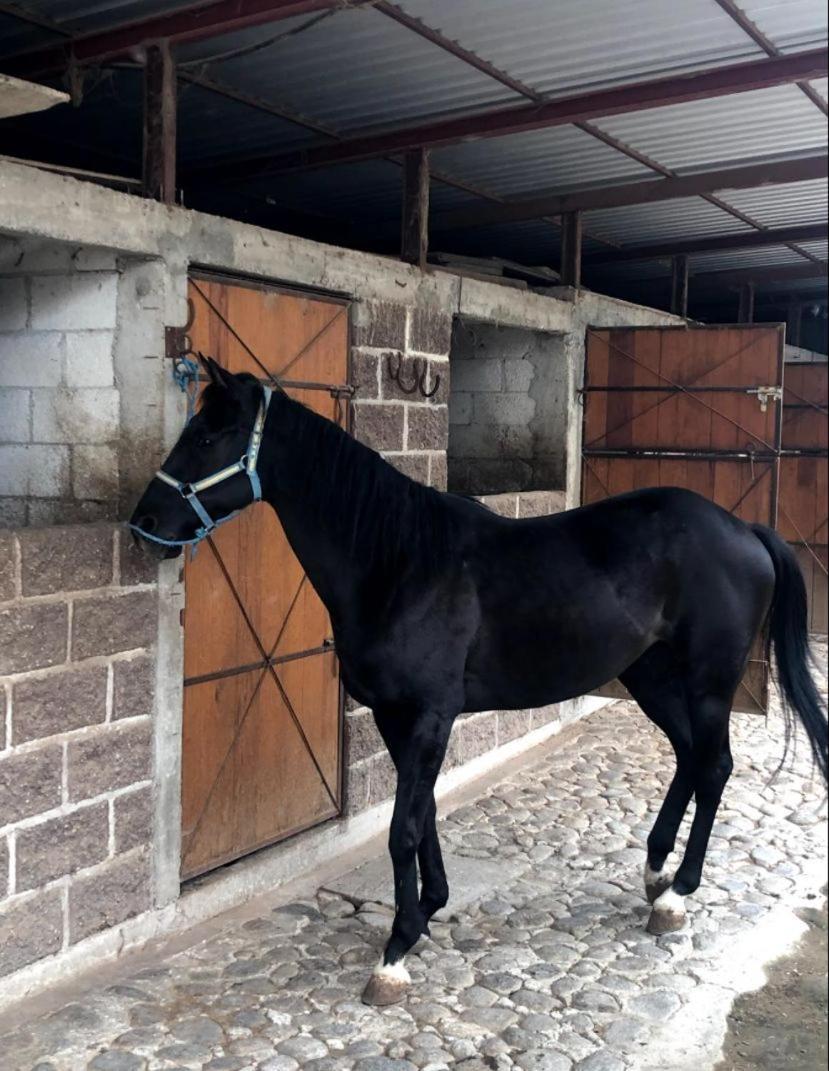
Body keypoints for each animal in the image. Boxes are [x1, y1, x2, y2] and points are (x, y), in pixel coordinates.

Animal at [133, 364, 826, 1006]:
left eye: (207, 435)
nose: (145, 521)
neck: (401, 562)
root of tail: (744, 530)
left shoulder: (429, 714)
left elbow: (402, 828)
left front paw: (395, 952)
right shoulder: (396, 716)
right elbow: (424, 813)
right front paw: (428, 908)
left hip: (708, 682)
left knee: (714, 766)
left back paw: (677, 895)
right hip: (648, 676)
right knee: (687, 757)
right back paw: (655, 875)